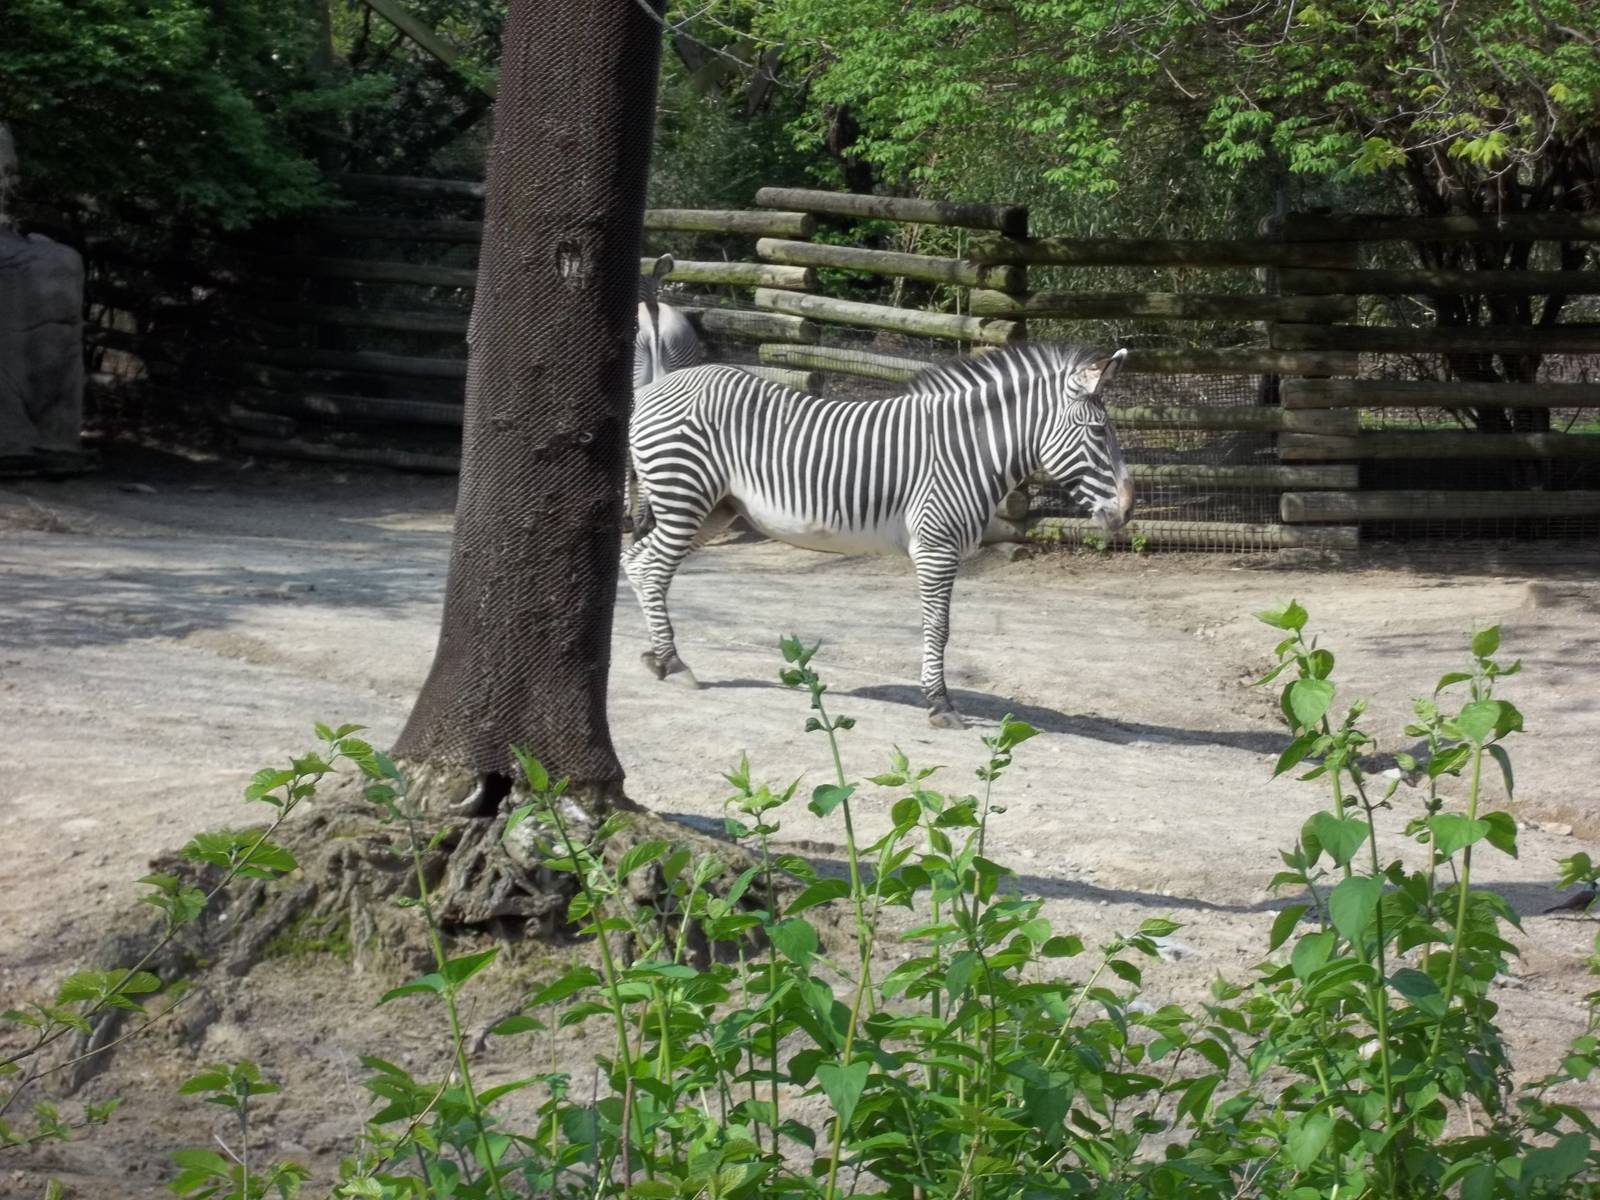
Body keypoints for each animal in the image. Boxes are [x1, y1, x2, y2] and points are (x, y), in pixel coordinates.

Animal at [622, 341, 1134, 729]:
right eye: (1097, 432)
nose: (1128, 510)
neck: (966, 451)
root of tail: (654, 387)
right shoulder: (936, 546)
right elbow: (939, 627)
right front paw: (940, 704)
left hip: (712, 510)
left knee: (639, 563)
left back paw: (660, 658)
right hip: (684, 497)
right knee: (650, 569)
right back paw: (673, 662)